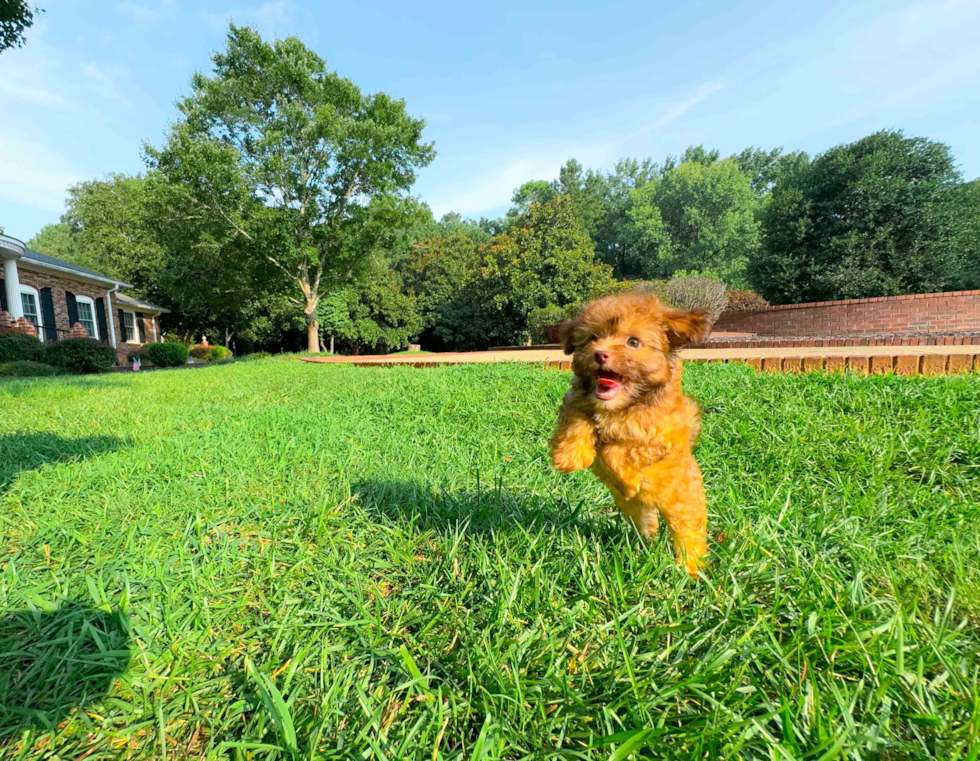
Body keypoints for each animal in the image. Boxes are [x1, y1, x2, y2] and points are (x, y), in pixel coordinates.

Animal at [548, 292, 708, 576]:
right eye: (592, 338)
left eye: (633, 342)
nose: (600, 354)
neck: (621, 406)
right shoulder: (576, 402)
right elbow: (577, 420)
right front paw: (568, 457)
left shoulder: (658, 441)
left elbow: (616, 450)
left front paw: (628, 480)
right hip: (637, 511)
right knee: (647, 524)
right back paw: (648, 541)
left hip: (683, 503)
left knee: (688, 533)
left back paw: (691, 567)